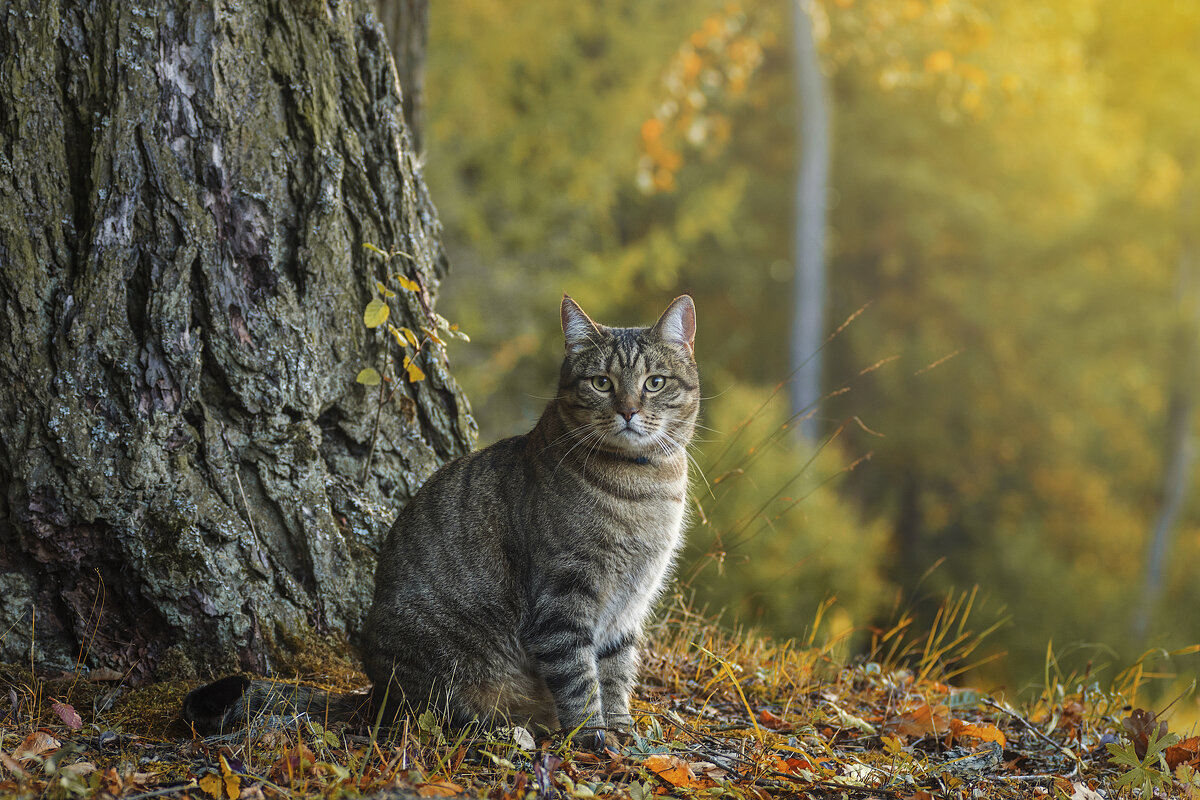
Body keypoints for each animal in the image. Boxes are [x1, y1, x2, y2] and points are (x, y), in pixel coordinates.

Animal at [182, 296, 700, 753]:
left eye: (654, 382)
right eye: (601, 382)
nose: (629, 410)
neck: (646, 486)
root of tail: (375, 692)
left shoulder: (628, 609)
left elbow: (615, 675)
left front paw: (622, 729)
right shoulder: (562, 602)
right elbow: (579, 680)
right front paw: (594, 737)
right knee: (445, 715)